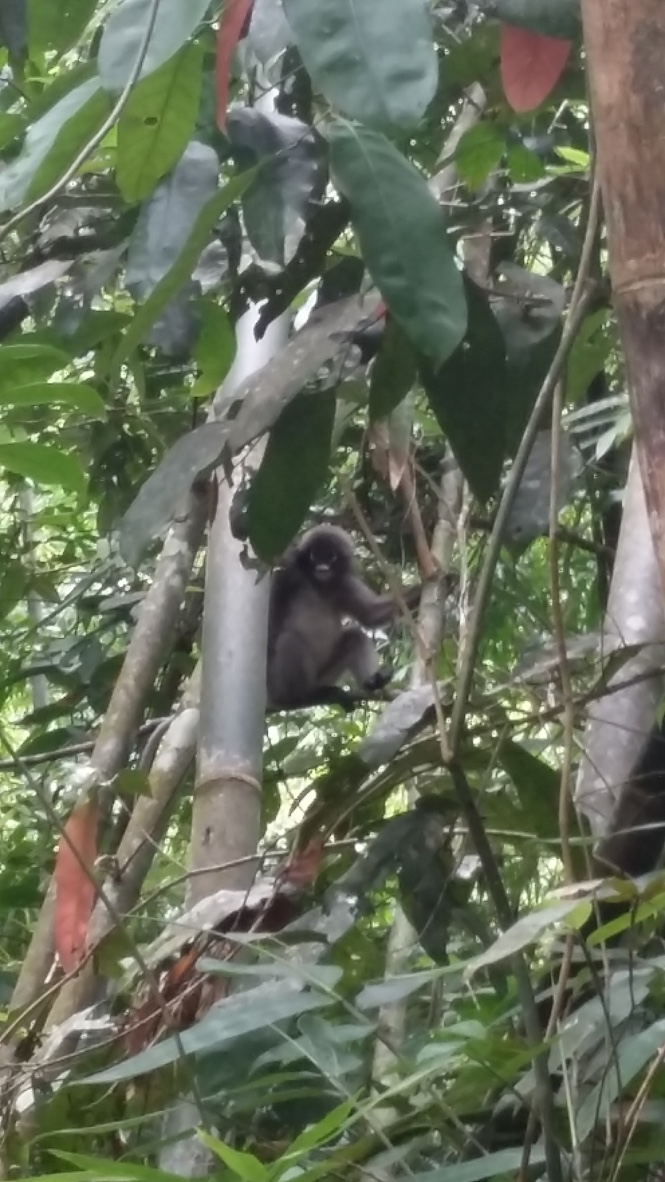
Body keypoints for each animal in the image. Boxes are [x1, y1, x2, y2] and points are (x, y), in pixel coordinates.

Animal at [265, 527, 420, 709]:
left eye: (330, 556)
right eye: (314, 555)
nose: (322, 567)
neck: (319, 584)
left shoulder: (343, 584)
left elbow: (371, 615)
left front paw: (434, 580)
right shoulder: (286, 573)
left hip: (323, 676)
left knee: (355, 636)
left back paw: (371, 682)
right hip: (278, 684)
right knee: (289, 639)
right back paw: (299, 697)